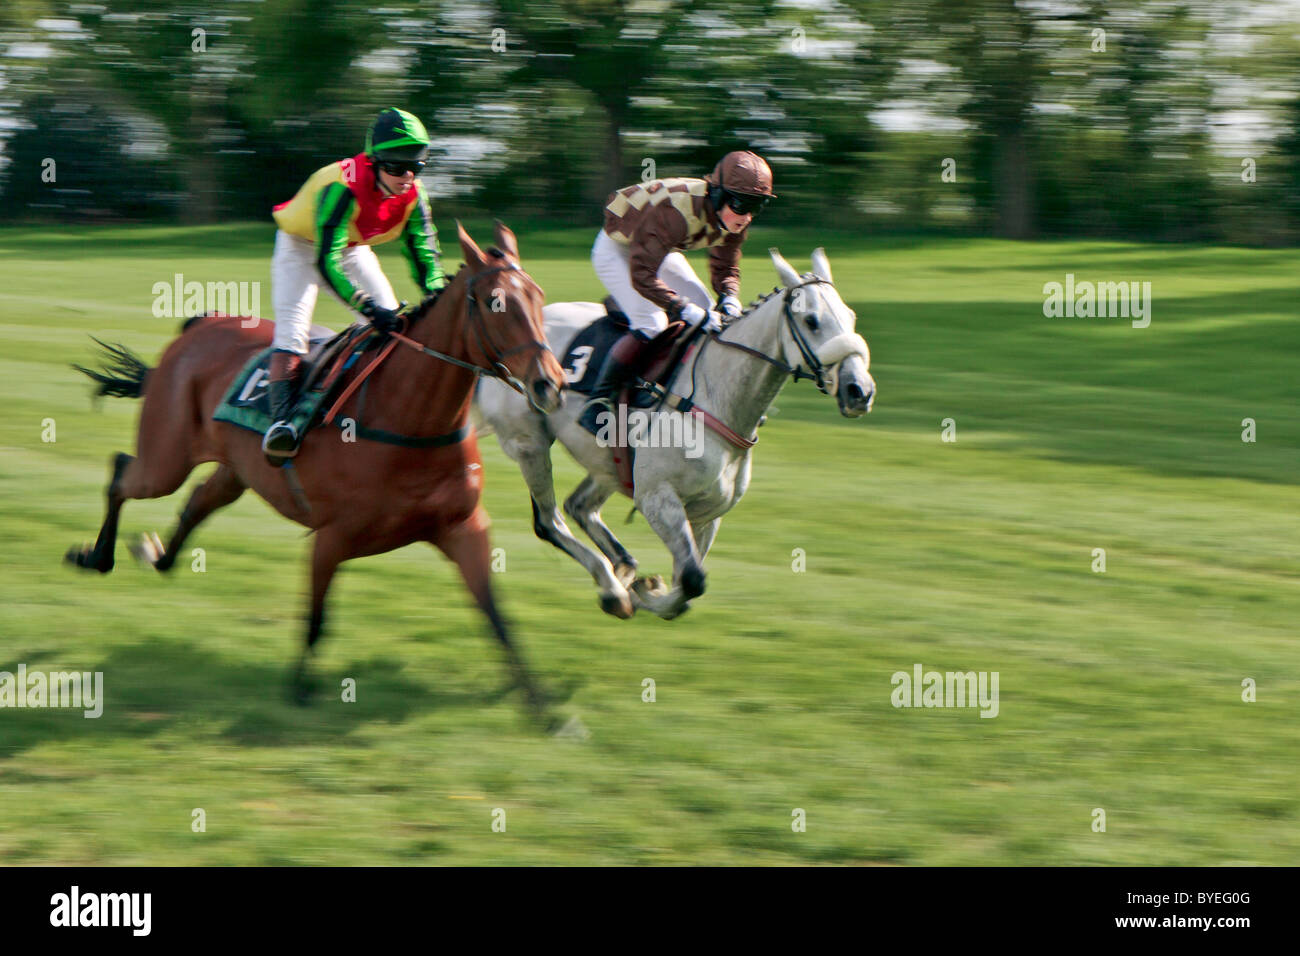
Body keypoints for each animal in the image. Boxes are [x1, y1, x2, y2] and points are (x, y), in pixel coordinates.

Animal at [65, 218, 564, 723]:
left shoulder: (463, 526)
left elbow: (498, 618)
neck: (409, 417)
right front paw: (299, 694)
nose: (550, 382)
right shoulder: (333, 536)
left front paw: (546, 710)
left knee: (198, 501)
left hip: (235, 469)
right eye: (496, 302)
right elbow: (317, 619)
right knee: (123, 473)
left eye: (538, 295)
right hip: (167, 458)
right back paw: (96, 556)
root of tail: (199, 323)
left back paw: (158, 554)